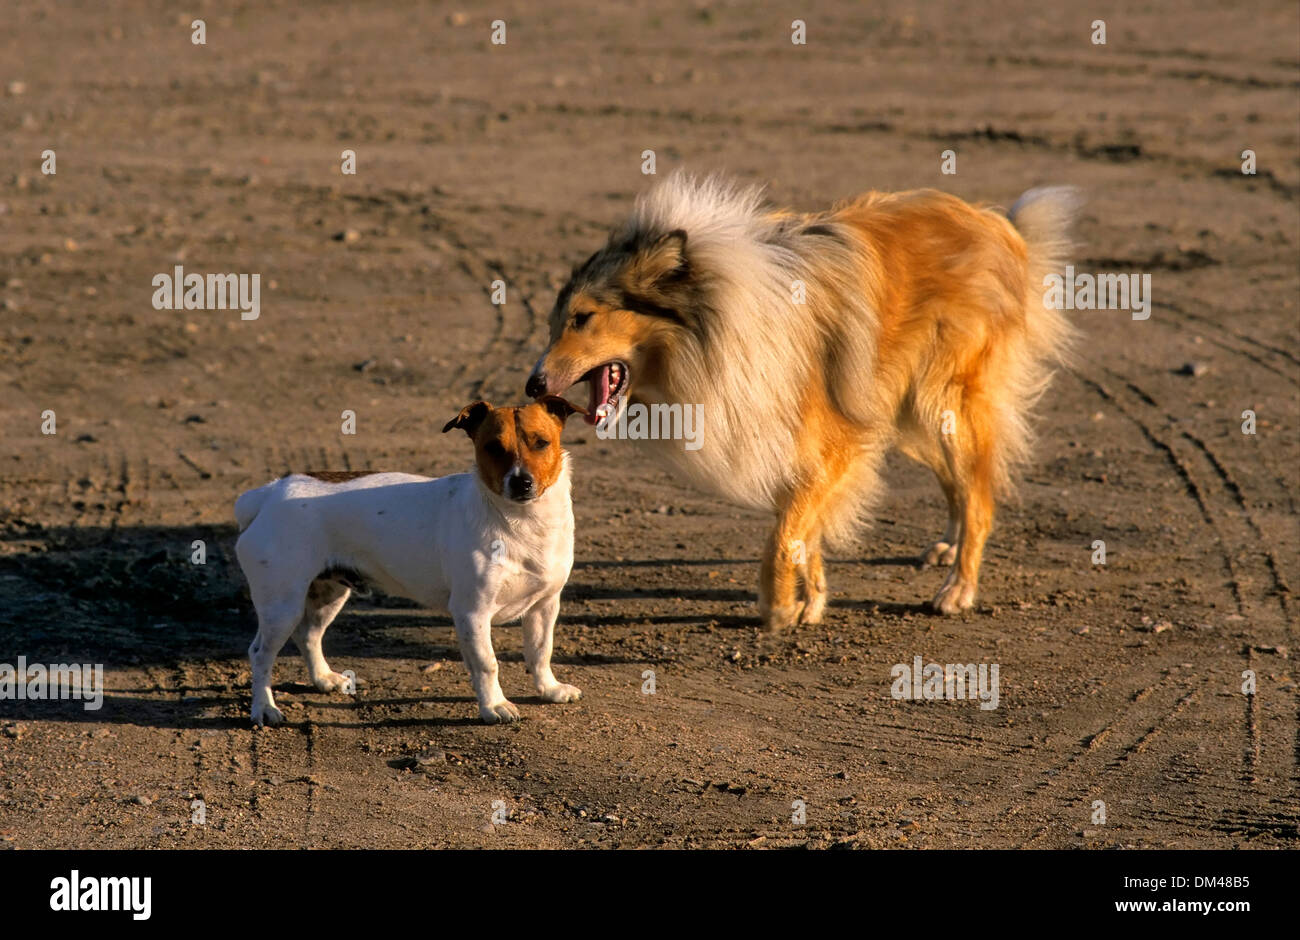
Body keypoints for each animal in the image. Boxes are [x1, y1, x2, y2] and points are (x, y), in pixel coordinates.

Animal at [233, 397, 585, 728]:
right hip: (281, 606)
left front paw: (549, 690)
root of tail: (270, 494)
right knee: (260, 654)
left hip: (327, 596)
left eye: (541, 442)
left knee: (308, 635)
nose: (521, 482)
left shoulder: (545, 606)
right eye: (493, 448)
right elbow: (488, 664)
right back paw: (264, 708)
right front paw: (494, 706)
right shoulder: (472, 613)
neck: (521, 521)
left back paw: (323, 679)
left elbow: (540, 651)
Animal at [525, 176, 1076, 631]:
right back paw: (946, 546)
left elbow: (783, 535)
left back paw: (959, 587)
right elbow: (802, 528)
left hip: (943, 401)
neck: (718, 316)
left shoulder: (839, 442)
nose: (533, 386)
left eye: (583, 318)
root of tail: (999, 225)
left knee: (980, 492)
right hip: (905, 411)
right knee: (959, 483)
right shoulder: (805, 446)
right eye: (553, 323)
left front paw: (780, 608)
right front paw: (811, 599)